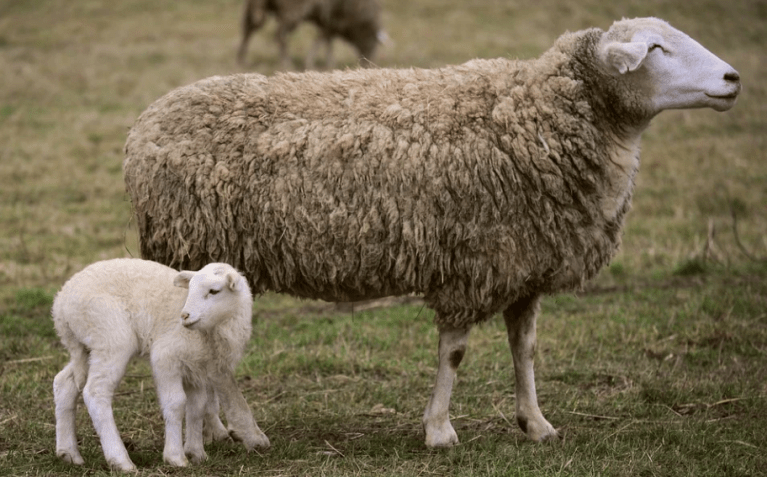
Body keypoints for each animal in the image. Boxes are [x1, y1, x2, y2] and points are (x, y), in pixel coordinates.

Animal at [51, 260, 270, 472]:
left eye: (214, 291)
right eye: (190, 289)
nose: (184, 316)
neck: (214, 330)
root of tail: (61, 304)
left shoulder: (196, 367)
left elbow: (197, 407)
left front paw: (196, 453)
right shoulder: (166, 357)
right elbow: (176, 403)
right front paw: (176, 457)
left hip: (86, 347)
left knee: (64, 382)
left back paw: (68, 453)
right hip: (110, 338)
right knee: (95, 392)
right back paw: (120, 460)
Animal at [123, 15, 740, 446]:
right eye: (655, 49)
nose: (733, 78)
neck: (540, 118)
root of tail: (142, 127)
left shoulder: (524, 265)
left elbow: (525, 349)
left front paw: (536, 423)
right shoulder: (472, 263)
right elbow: (456, 354)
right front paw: (440, 431)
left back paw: (217, 431)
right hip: (198, 247)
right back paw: (242, 432)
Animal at [236, 0, 384, 69]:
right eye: (372, 45)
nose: (367, 64)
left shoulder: (328, 21)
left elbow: (326, 41)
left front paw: (325, 63)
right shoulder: (333, 19)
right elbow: (322, 40)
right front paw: (315, 63)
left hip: (256, 5)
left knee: (248, 29)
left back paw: (242, 61)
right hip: (292, 10)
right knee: (279, 36)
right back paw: (286, 63)